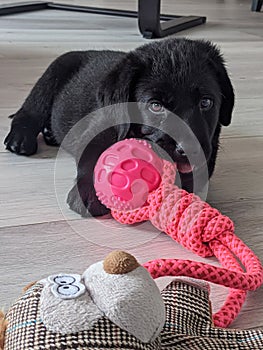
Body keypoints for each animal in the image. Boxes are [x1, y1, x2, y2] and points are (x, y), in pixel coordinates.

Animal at [4, 37, 235, 216]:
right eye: (155, 106)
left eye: (206, 103)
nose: (188, 149)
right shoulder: (96, 128)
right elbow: (90, 157)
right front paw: (87, 193)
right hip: (52, 74)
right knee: (30, 110)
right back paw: (20, 138)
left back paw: (50, 133)